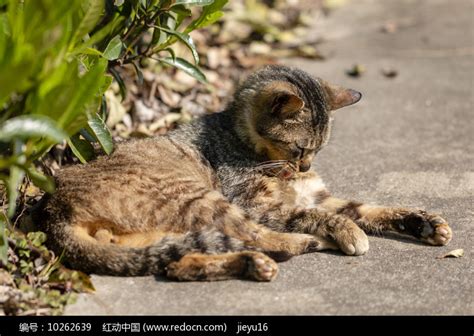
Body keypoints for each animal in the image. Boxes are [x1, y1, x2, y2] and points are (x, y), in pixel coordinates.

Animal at [36, 65, 452, 280]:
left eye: (318, 150)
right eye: (301, 148)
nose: (306, 166)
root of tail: (55, 208)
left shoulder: (320, 194)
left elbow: (367, 208)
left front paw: (422, 222)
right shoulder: (260, 204)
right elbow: (316, 215)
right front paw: (348, 232)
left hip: (161, 234)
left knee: (177, 262)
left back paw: (250, 263)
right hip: (200, 199)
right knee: (254, 234)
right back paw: (297, 245)